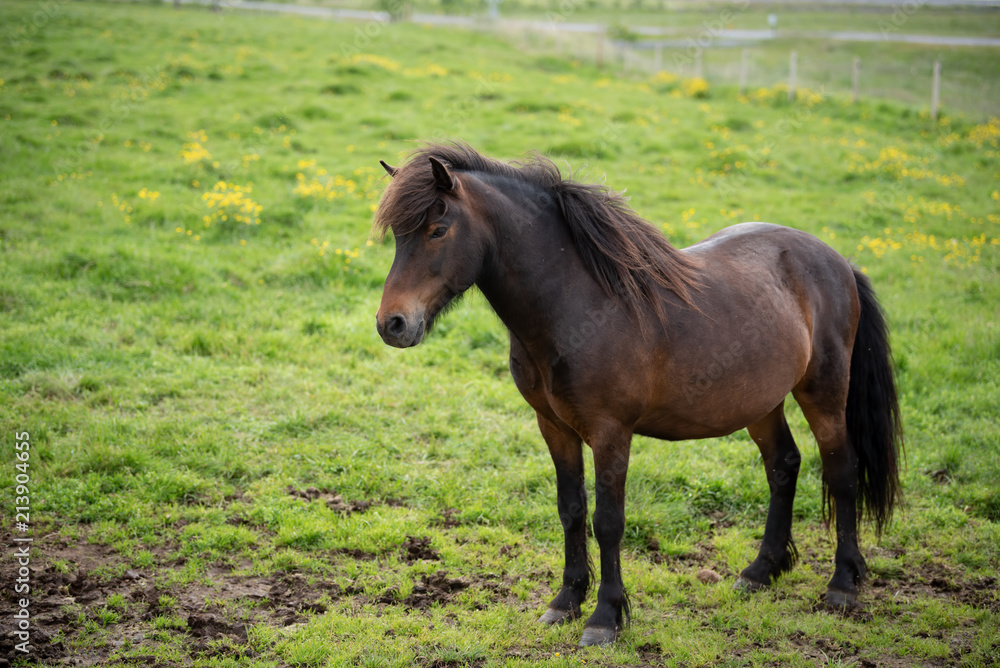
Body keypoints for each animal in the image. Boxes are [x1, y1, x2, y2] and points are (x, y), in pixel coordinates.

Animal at [372, 142, 902, 647]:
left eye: (437, 230)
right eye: (398, 235)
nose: (391, 324)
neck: (580, 305)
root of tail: (837, 261)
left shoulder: (611, 433)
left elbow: (608, 519)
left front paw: (605, 618)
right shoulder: (554, 427)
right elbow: (570, 510)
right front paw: (565, 602)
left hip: (824, 392)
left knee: (841, 470)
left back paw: (842, 585)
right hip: (762, 401)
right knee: (783, 465)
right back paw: (759, 572)